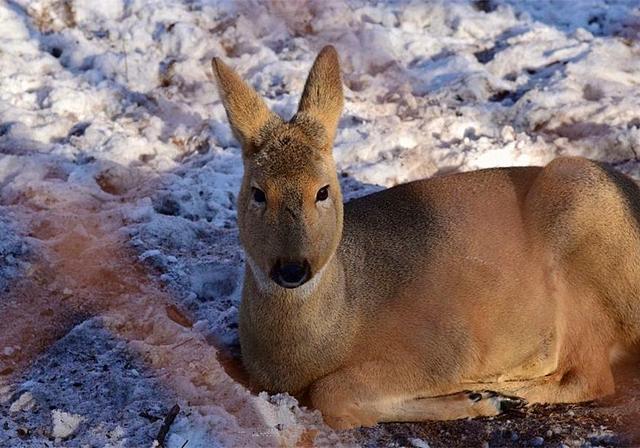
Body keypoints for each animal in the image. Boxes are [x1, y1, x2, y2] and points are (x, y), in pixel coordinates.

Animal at [212, 46, 640, 430]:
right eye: (258, 192)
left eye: (323, 190)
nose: (291, 268)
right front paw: (471, 400)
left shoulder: (444, 345)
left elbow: (330, 393)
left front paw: (478, 398)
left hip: (578, 216)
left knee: (589, 377)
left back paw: (503, 389)